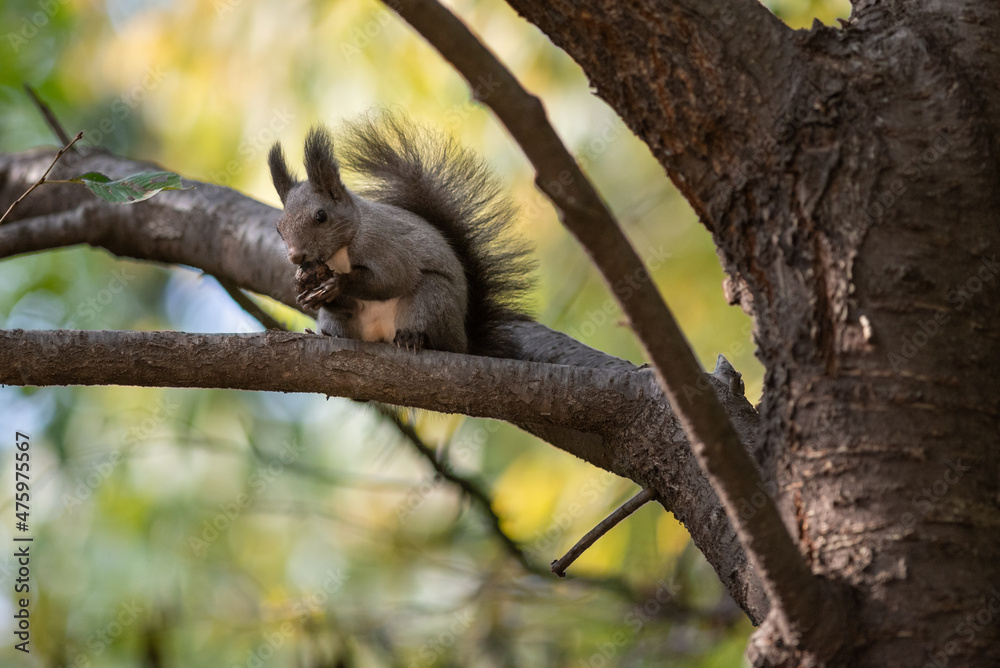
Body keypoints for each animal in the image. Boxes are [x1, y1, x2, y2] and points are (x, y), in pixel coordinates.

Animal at [266, 115, 532, 358]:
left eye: (321, 216)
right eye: (279, 228)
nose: (296, 257)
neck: (340, 251)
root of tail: (465, 344)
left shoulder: (382, 244)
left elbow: (393, 279)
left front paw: (339, 284)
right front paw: (306, 295)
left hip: (432, 300)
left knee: (435, 333)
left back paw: (414, 338)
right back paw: (326, 334)